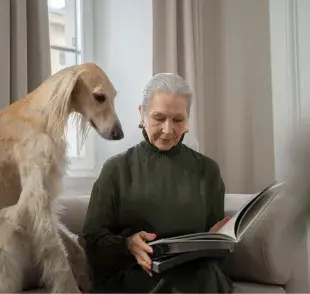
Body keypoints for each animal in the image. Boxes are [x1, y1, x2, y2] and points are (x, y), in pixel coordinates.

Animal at [0, 61, 123, 292]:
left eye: (114, 96)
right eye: (99, 96)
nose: (119, 134)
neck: (37, 115)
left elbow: (74, 249)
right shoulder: (34, 202)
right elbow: (58, 260)